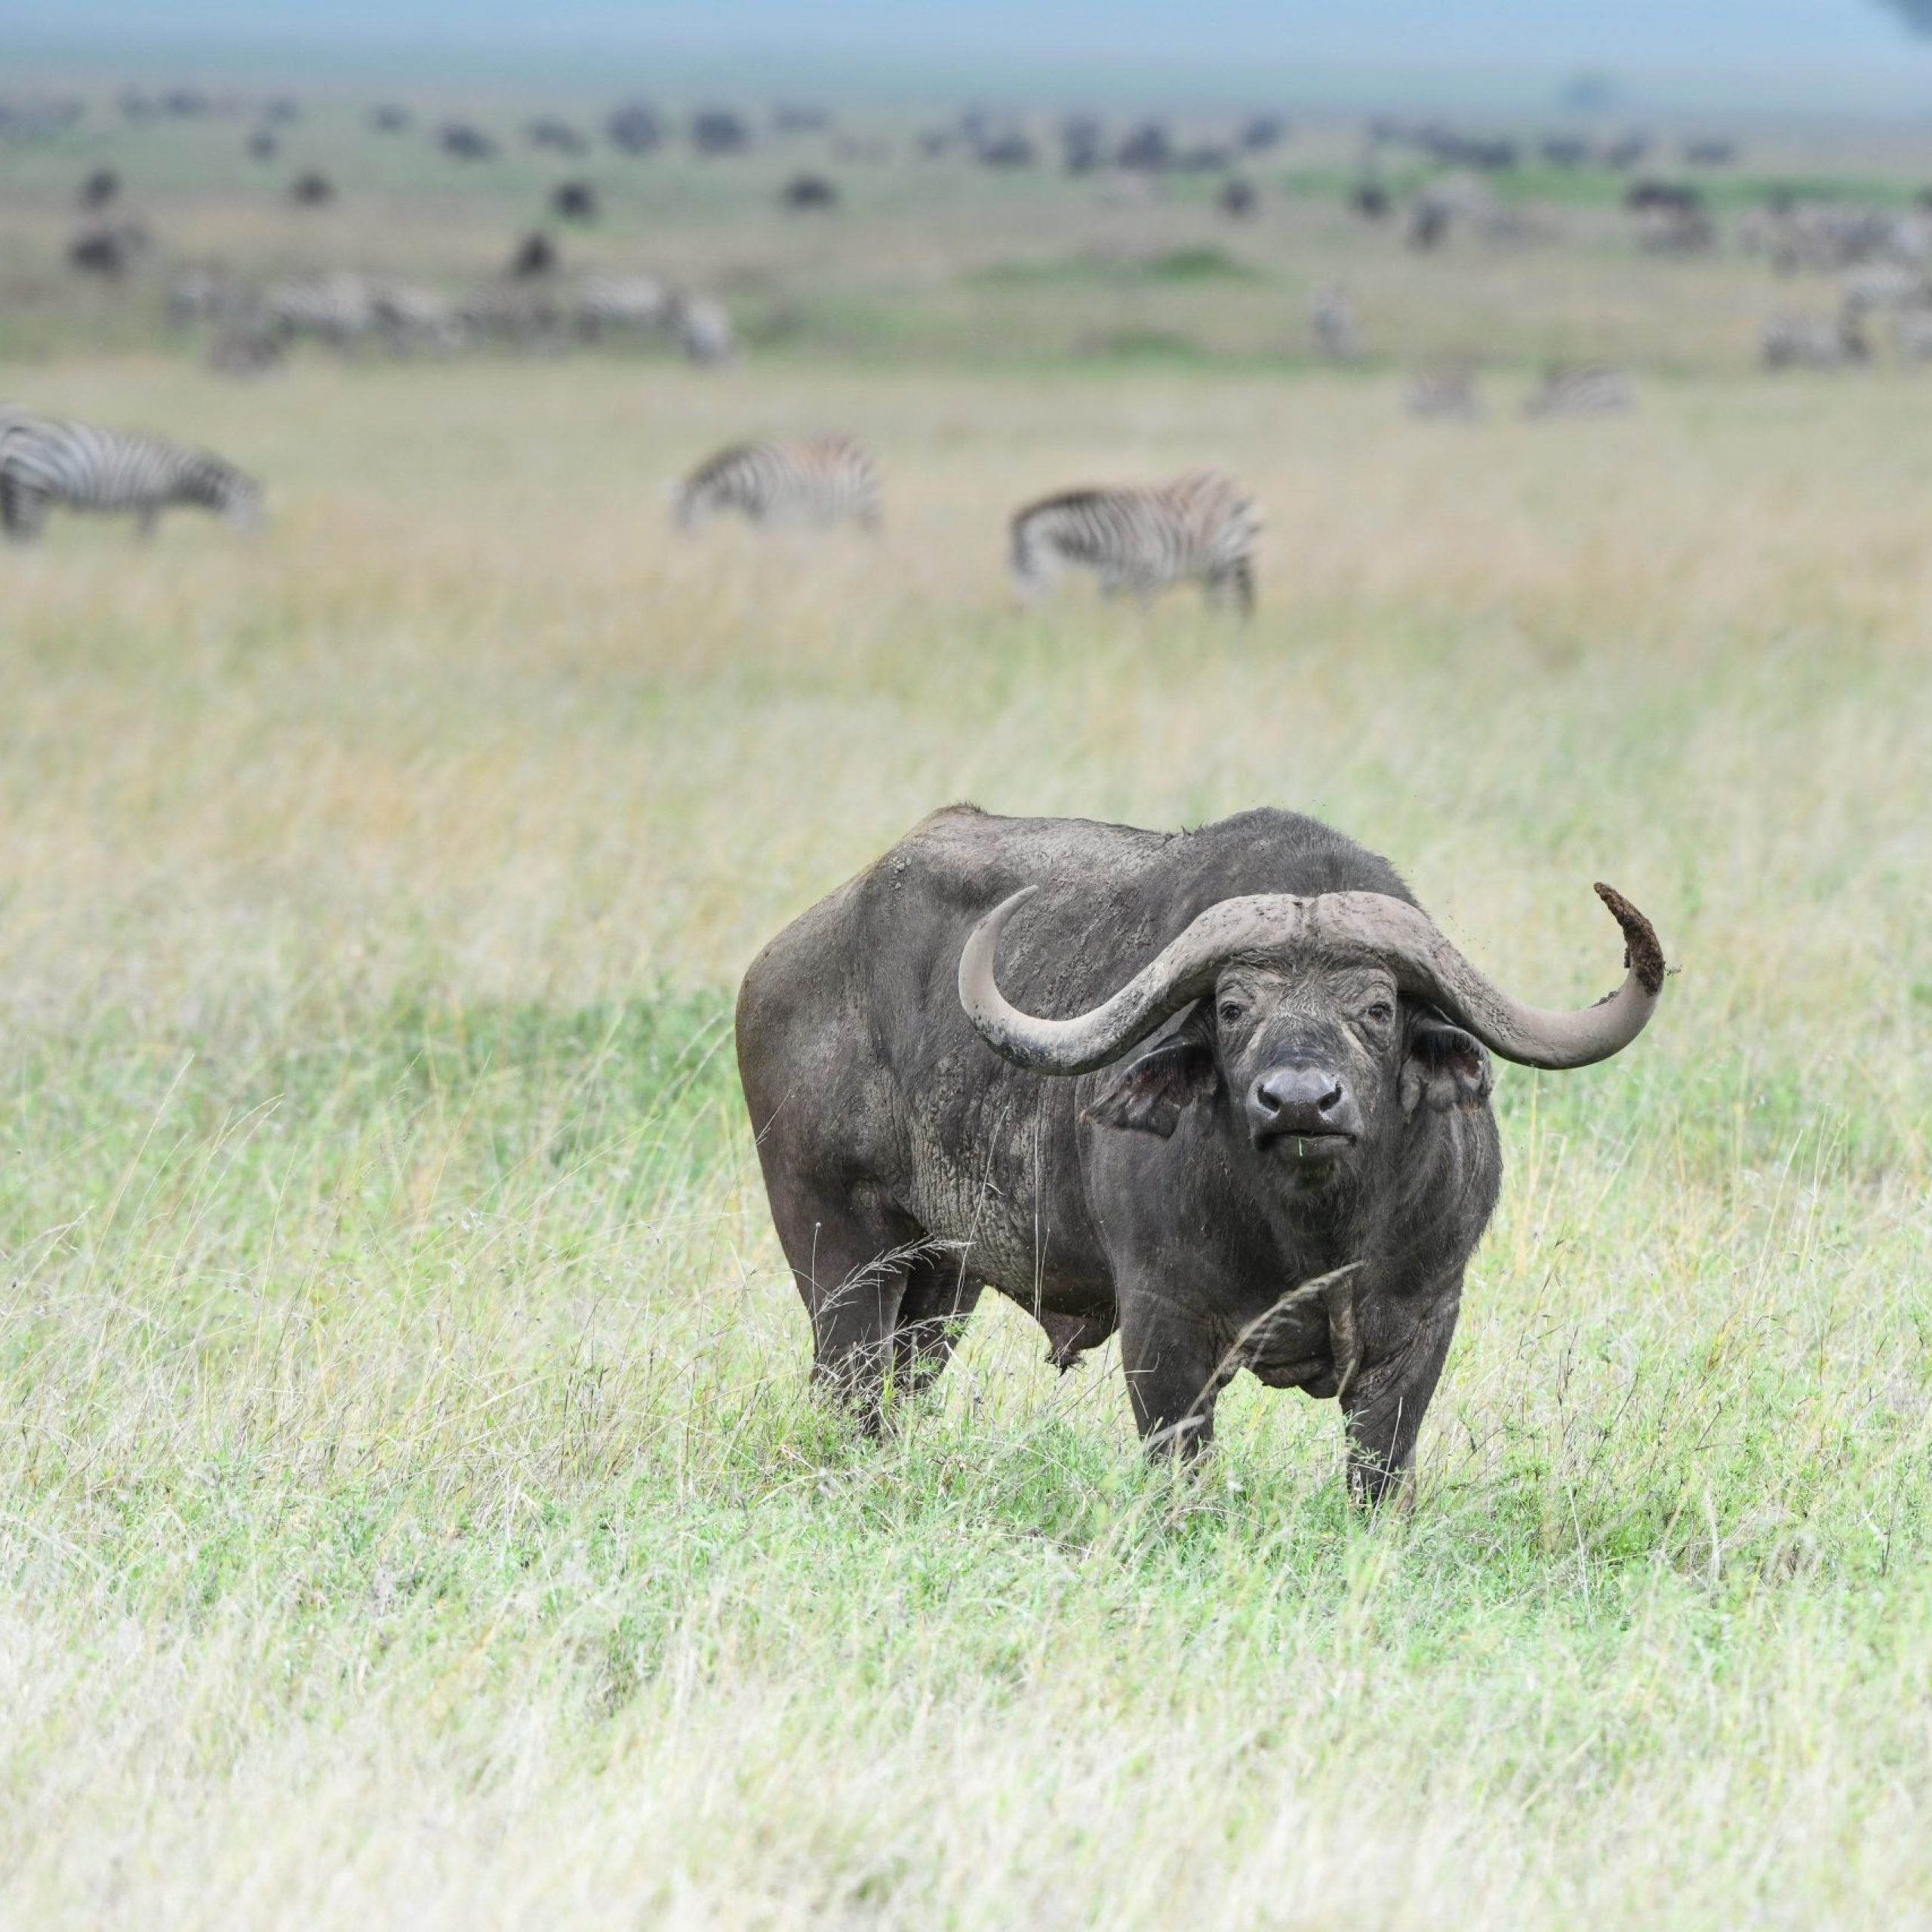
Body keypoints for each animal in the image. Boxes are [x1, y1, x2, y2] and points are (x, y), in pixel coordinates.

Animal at [738, 807, 1666, 1502]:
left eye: (1376, 1006)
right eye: (1230, 1007)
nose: (1300, 1101)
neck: (1314, 1236)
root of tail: (777, 965)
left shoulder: (1423, 1322)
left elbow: (1378, 1474)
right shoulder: (1164, 1325)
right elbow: (1178, 1464)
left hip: (942, 1276)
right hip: (837, 1252)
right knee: (847, 1387)